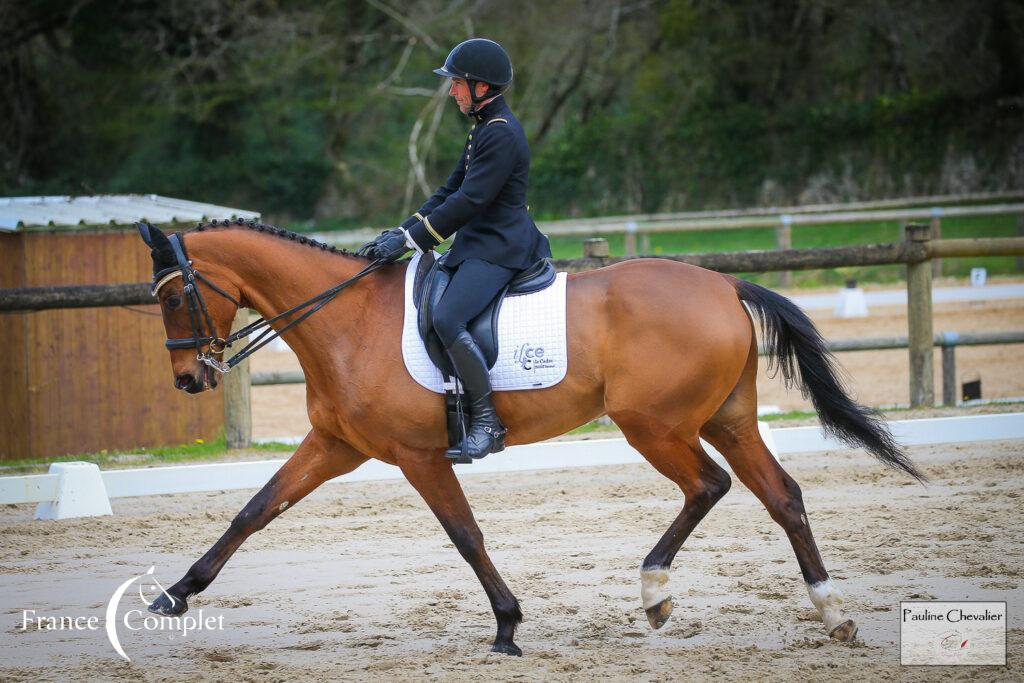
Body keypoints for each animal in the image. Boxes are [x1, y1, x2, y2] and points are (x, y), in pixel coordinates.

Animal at [138, 220, 921, 655]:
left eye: (174, 295)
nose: (187, 379)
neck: (344, 319)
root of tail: (724, 285)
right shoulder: (335, 446)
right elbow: (253, 511)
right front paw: (175, 595)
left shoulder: (419, 456)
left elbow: (465, 535)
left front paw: (507, 627)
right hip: (726, 419)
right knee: (781, 496)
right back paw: (832, 614)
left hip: (656, 425)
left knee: (709, 485)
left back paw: (655, 592)